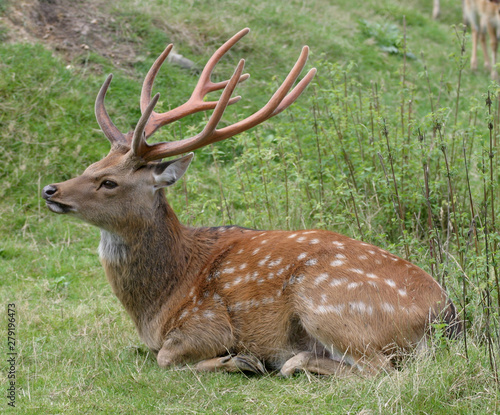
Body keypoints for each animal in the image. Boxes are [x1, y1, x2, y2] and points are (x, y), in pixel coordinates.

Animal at [43, 26, 460, 376]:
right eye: (91, 165)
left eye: (109, 182)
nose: (50, 190)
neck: (158, 301)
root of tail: (447, 317)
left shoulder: (207, 321)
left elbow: (166, 357)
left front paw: (239, 359)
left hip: (329, 303)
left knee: (380, 371)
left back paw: (286, 361)